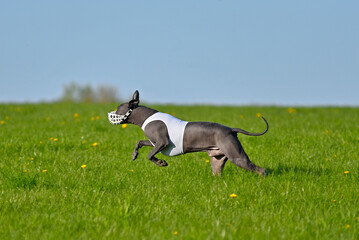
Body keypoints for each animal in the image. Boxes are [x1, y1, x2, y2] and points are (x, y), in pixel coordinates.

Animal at [108, 90, 268, 176]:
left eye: (118, 108)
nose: (109, 114)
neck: (146, 117)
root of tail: (231, 129)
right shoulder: (154, 142)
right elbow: (140, 142)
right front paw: (134, 154)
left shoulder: (162, 142)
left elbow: (150, 155)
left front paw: (161, 163)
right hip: (217, 159)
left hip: (236, 156)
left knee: (260, 169)